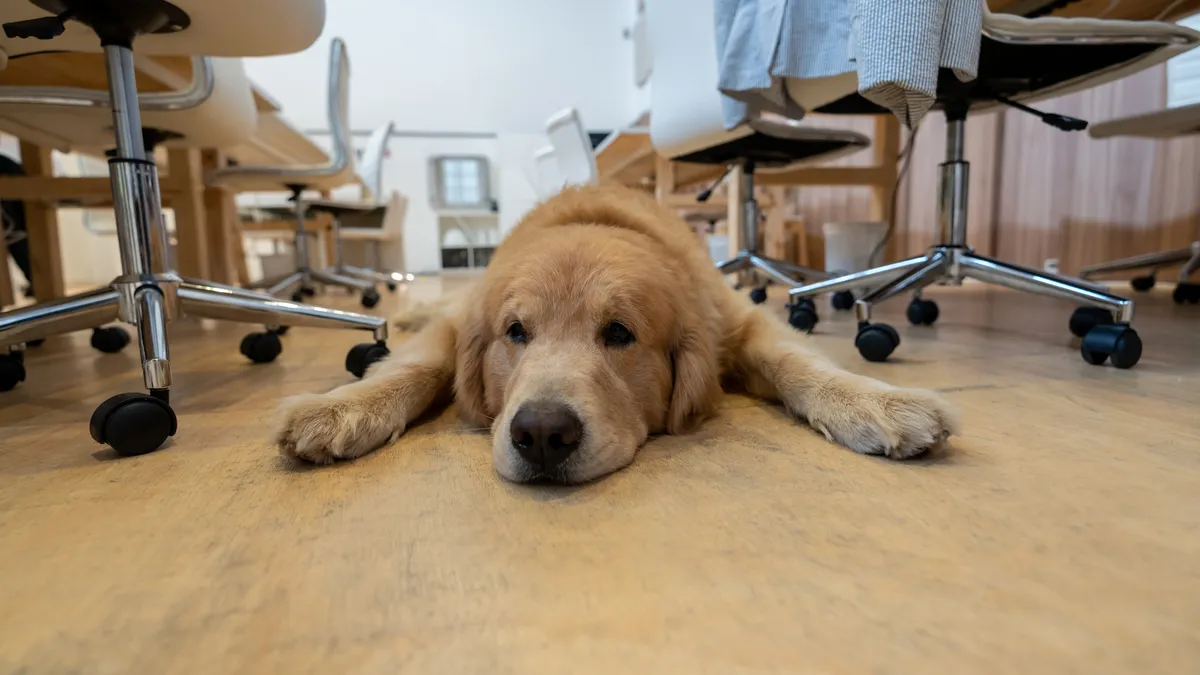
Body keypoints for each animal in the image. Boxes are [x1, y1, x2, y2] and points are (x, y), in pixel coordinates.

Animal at [274, 181, 955, 480]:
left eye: (621, 334)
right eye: (515, 332)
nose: (541, 435)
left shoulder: (738, 320)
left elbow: (798, 362)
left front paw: (876, 402)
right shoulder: (459, 327)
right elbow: (418, 364)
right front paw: (340, 409)